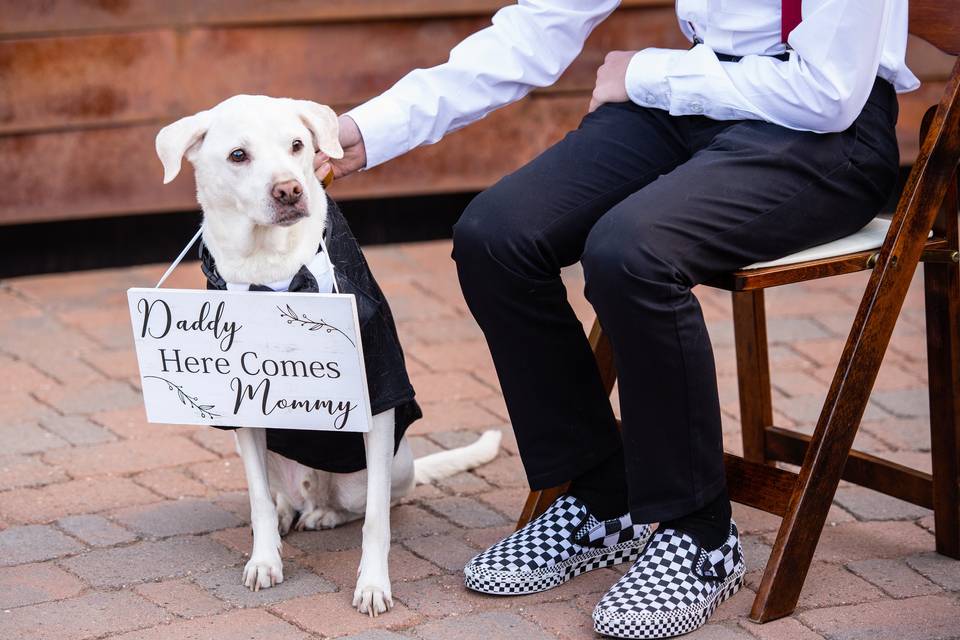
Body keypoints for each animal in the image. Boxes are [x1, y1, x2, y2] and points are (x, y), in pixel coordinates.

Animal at [156, 95, 502, 616]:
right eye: (238, 155)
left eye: (298, 145)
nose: (289, 190)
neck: (271, 269)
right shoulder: (246, 409)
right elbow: (258, 501)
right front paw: (265, 560)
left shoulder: (376, 397)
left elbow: (376, 519)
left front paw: (374, 585)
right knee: (279, 496)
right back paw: (290, 513)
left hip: (381, 470)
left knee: (374, 502)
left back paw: (324, 514)